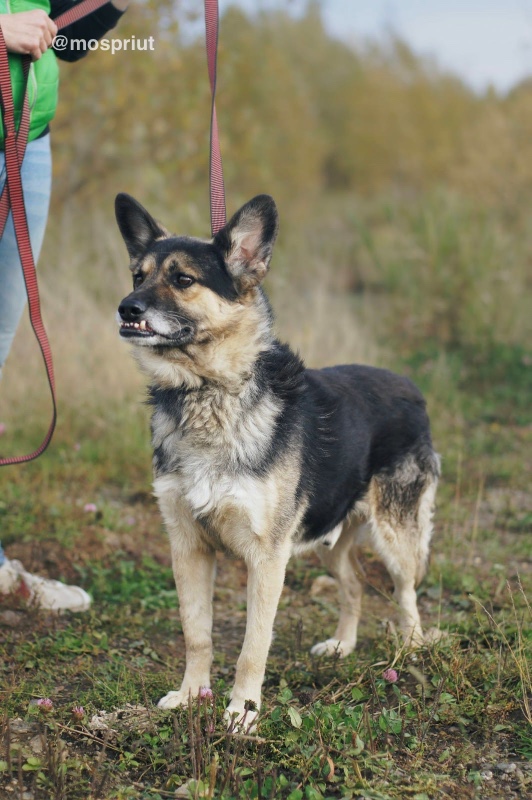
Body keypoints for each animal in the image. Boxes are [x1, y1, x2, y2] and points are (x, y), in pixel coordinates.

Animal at [114, 194, 438, 732]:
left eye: (183, 279)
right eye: (138, 275)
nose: (125, 307)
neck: (209, 392)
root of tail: (409, 386)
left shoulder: (267, 558)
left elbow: (252, 646)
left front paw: (241, 713)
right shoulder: (189, 548)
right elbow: (196, 633)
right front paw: (191, 695)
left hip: (395, 536)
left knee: (405, 594)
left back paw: (410, 652)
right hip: (326, 539)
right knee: (354, 586)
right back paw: (342, 646)